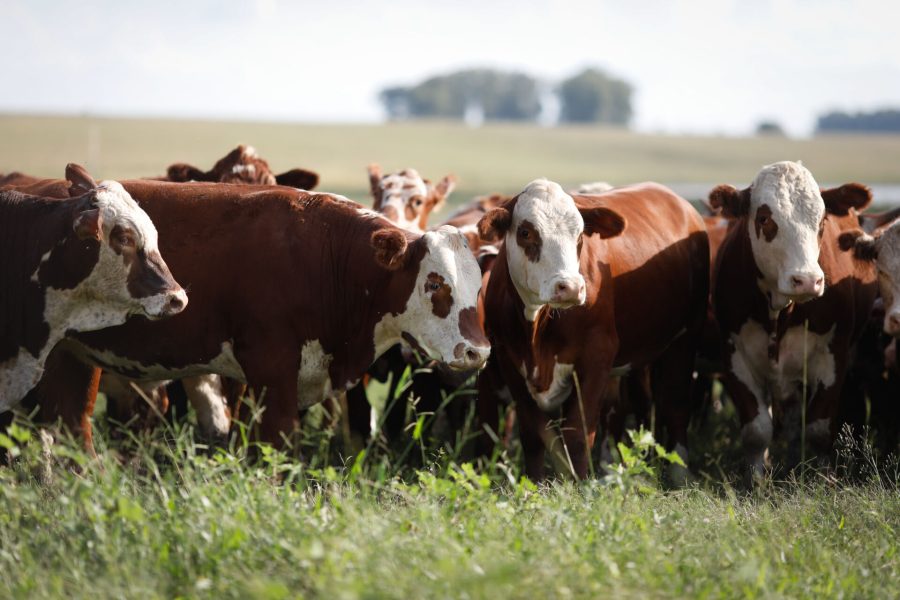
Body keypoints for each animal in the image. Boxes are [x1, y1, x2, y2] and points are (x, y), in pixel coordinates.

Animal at [474, 179, 708, 482]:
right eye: (526, 232)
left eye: (579, 234)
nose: (571, 287)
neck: (536, 330)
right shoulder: (509, 362)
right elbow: (535, 435)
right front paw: (534, 484)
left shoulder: (596, 357)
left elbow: (578, 435)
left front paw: (577, 483)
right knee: (627, 409)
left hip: (685, 337)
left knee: (675, 405)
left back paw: (679, 474)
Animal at [708, 161, 876, 478]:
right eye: (764, 218)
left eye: (822, 222)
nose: (808, 280)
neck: (780, 312)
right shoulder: (734, 356)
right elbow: (757, 430)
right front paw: (756, 481)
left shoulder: (834, 355)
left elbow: (819, 429)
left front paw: (822, 479)